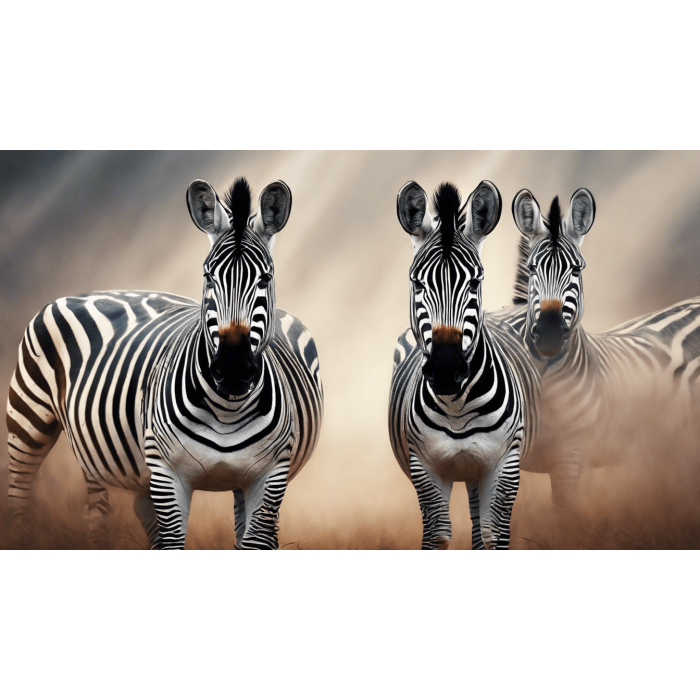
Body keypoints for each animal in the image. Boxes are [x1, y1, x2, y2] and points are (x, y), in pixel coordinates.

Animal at [6, 177, 323, 549]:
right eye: (208, 276)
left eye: (265, 279)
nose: (232, 370)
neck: (228, 411)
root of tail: (91, 292)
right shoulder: (166, 473)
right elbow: (171, 542)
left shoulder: (269, 475)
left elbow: (255, 540)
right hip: (28, 422)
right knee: (20, 498)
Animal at [389, 180, 541, 550]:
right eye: (417, 283)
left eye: (475, 282)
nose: (446, 370)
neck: (457, 408)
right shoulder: (424, 466)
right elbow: (438, 534)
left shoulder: (504, 464)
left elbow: (492, 535)